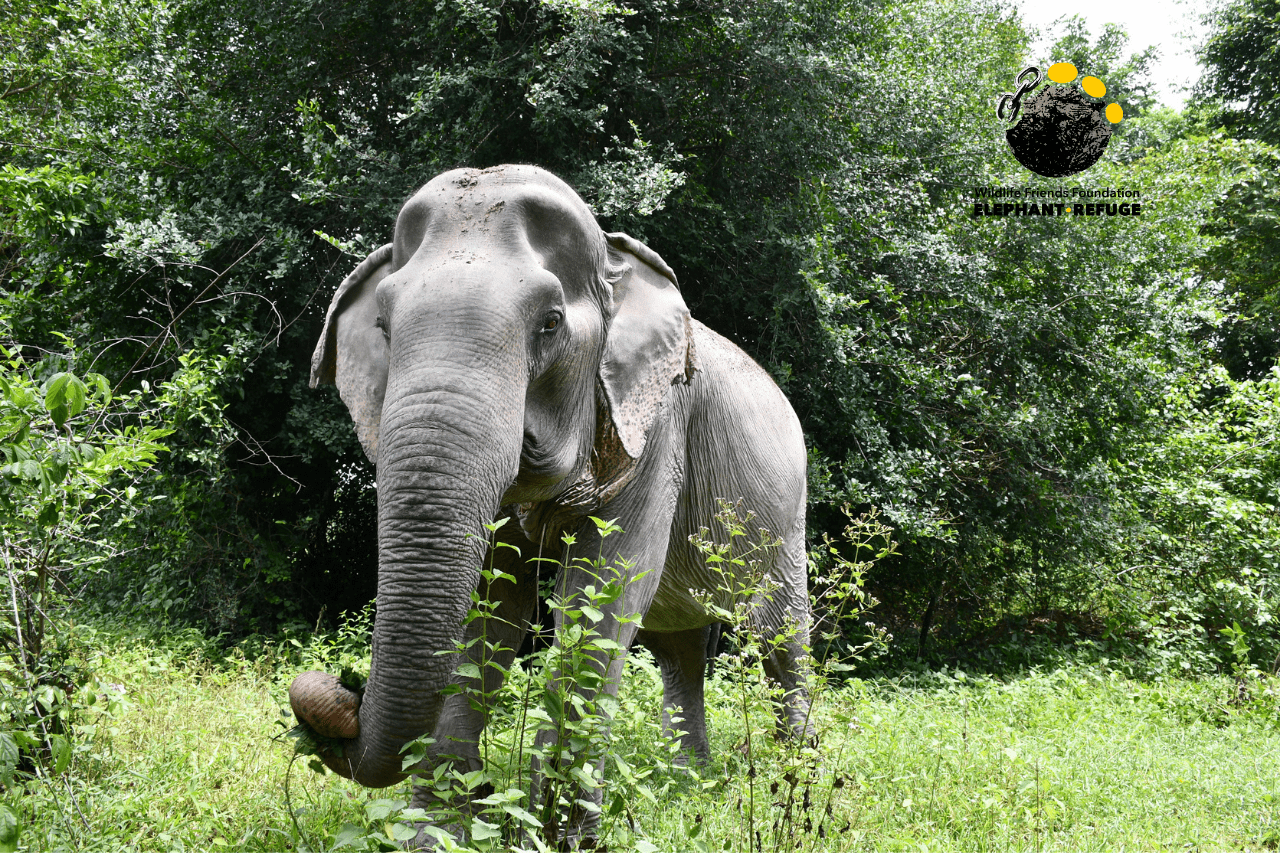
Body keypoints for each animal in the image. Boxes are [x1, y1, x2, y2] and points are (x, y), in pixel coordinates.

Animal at [289, 164, 812, 848]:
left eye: (550, 323)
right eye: (382, 326)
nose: (335, 690)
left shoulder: (656, 425)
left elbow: (599, 590)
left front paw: (564, 839)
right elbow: (493, 606)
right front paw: (436, 833)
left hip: (788, 515)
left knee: (781, 635)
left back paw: (795, 780)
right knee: (678, 649)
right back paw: (688, 785)